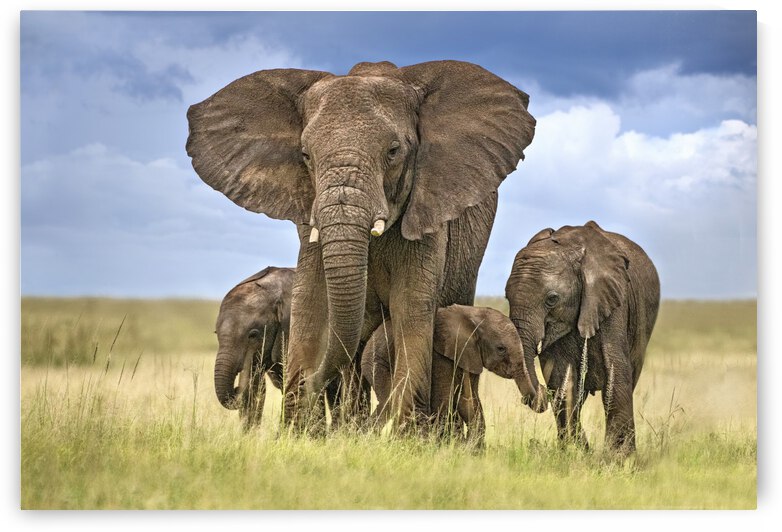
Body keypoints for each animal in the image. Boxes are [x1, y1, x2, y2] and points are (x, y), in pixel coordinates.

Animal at [186, 60, 537, 430]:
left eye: (394, 151)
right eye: (305, 155)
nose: (311, 380)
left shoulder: (428, 214)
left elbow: (411, 309)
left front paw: (407, 437)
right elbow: (312, 303)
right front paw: (297, 433)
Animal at [362, 304, 532, 446]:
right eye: (501, 349)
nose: (524, 400)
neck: (473, 315)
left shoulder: (472, 355)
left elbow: (469, 399)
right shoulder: (440, 355)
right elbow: (445, 397)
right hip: (376, 362)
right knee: (389, 400)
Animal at [505, 221, 660, 453]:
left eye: (552, 299)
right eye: (506, 297)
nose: (540, 392)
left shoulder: (614, 299)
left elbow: (616, 372)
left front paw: (619, 457)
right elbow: (561, 379)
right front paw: (577, 452)